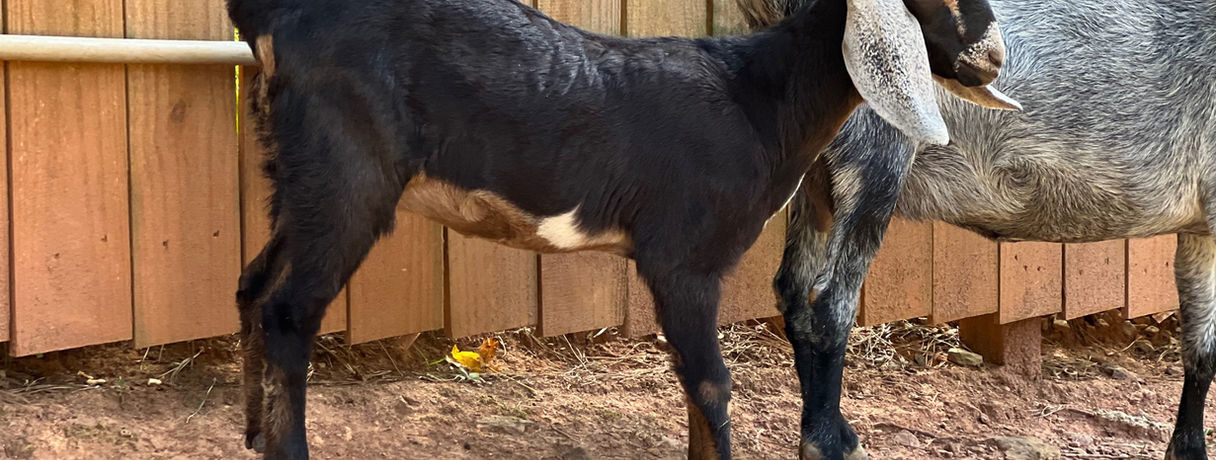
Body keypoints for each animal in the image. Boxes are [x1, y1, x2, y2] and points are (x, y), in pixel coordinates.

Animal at [226, 0, 1012, 458]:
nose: (997, 55)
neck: (757, 96)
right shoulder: (682, 259)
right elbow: (711, 383)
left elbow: (697, 384)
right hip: (347, 173)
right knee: (289, 310)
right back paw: (286, 448)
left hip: (302, 178)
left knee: (253, 285)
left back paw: (254, 432)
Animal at [743, 0, 1216, 459]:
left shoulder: (1202, 231)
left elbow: (1202, 349)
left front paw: (1187, 450)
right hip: (877, 149)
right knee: (827, 302)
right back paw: (826, 444)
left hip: (816, 175)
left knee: (793, 290)